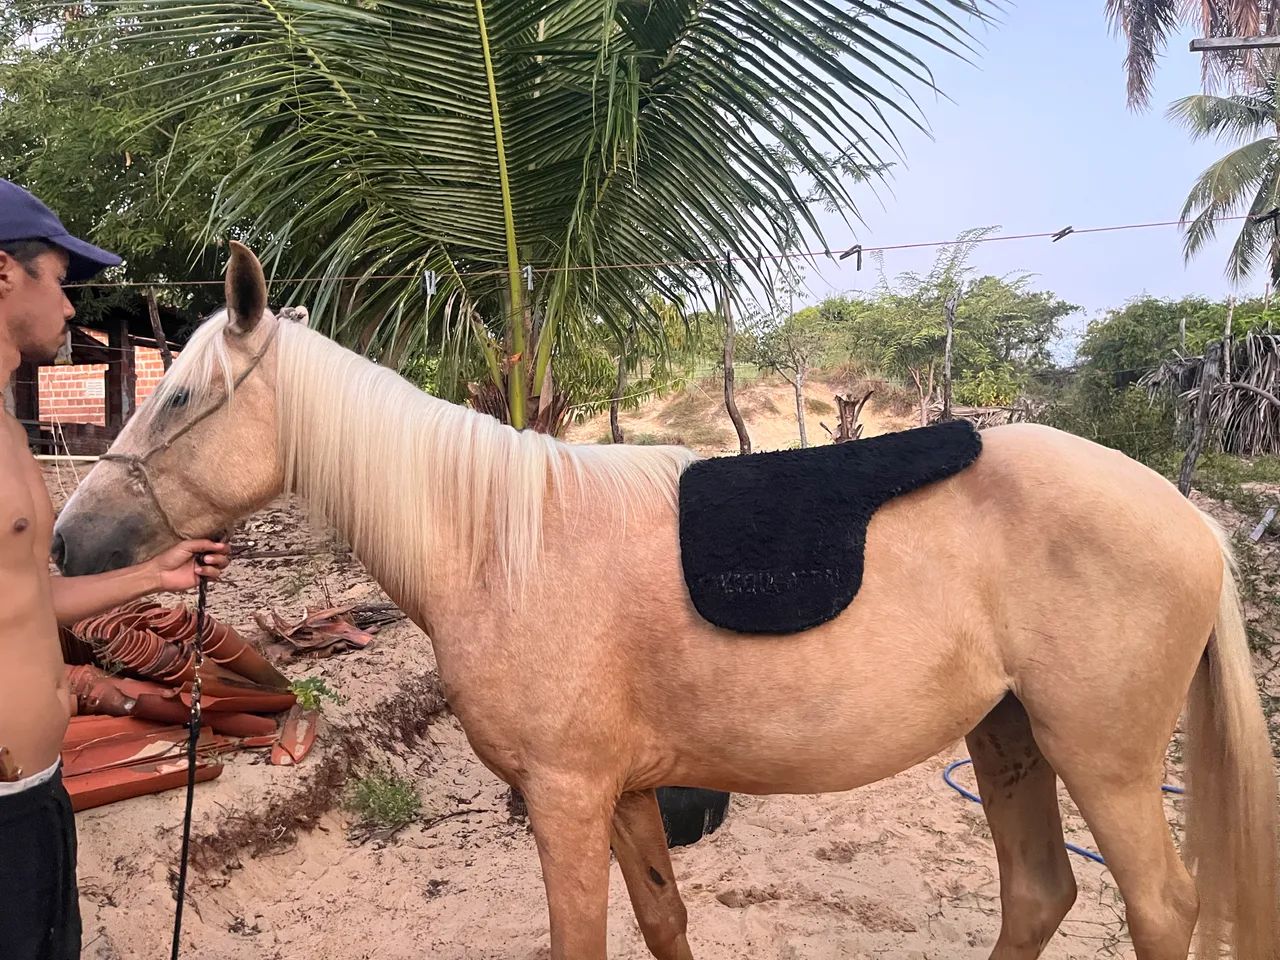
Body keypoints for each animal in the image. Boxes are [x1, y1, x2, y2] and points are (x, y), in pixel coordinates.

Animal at [54, 243, 1278, 960]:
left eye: (179, 396)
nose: (70, 540)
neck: (503, 546)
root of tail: (1190, 521)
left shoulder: (562, 798)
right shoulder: (627, 793)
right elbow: (662, 916)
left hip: (1101, 758)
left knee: (1158, 908)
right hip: (1007, 734)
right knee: (1037, 893)